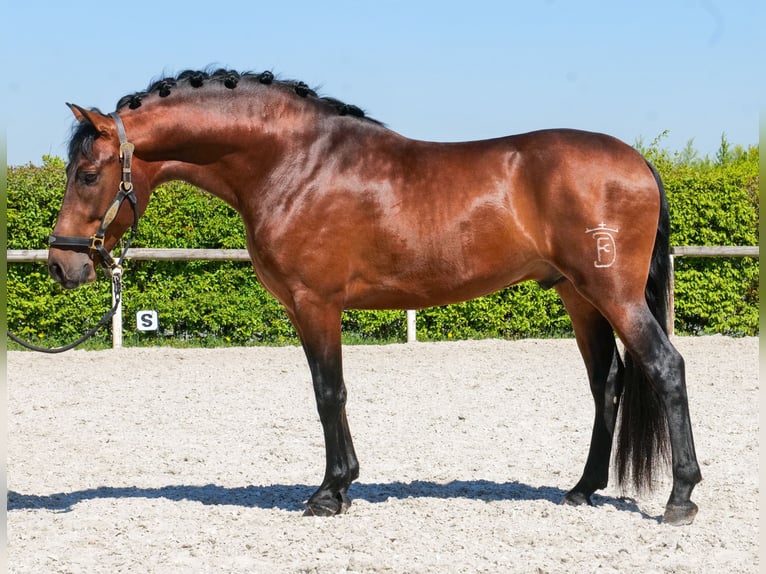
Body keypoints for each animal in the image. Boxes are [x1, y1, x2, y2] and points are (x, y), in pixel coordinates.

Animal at [47, 68, 700, 524]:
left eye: (88, 173)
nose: (61, 262)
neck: (295, 164)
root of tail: (639, 161)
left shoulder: (315, 304)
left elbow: (328, 392)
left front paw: (330, 491)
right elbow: (329, 393)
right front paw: (340, 485)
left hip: (612, 294)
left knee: (665, 366)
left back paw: (681, 498)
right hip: (578, 297)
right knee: (607, 382)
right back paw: (583, 489)